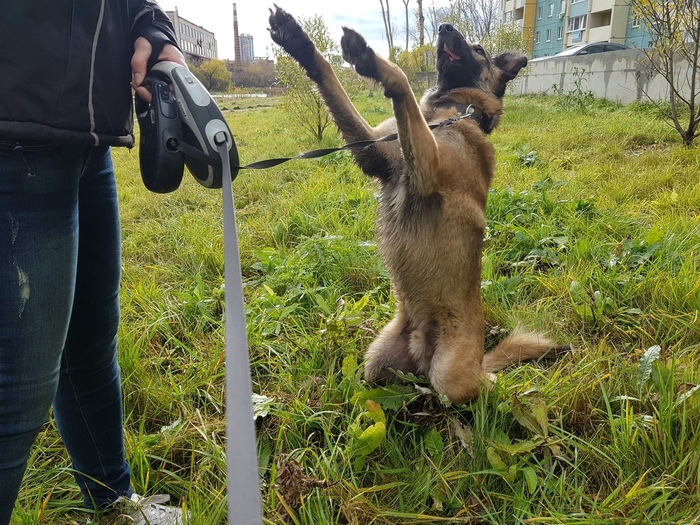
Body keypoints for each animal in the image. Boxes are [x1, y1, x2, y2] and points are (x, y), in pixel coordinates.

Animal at [268, 6, 564, 404]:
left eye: (479, 49)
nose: (443, 26)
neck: (455, 112)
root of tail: (425, 351)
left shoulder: (428, 168)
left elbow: (401, 79)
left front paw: (371, 60)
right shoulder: (375, 151)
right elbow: (333, 77)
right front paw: (298, 41)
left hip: (451, 376)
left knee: (484, 385)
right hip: (376, 360)